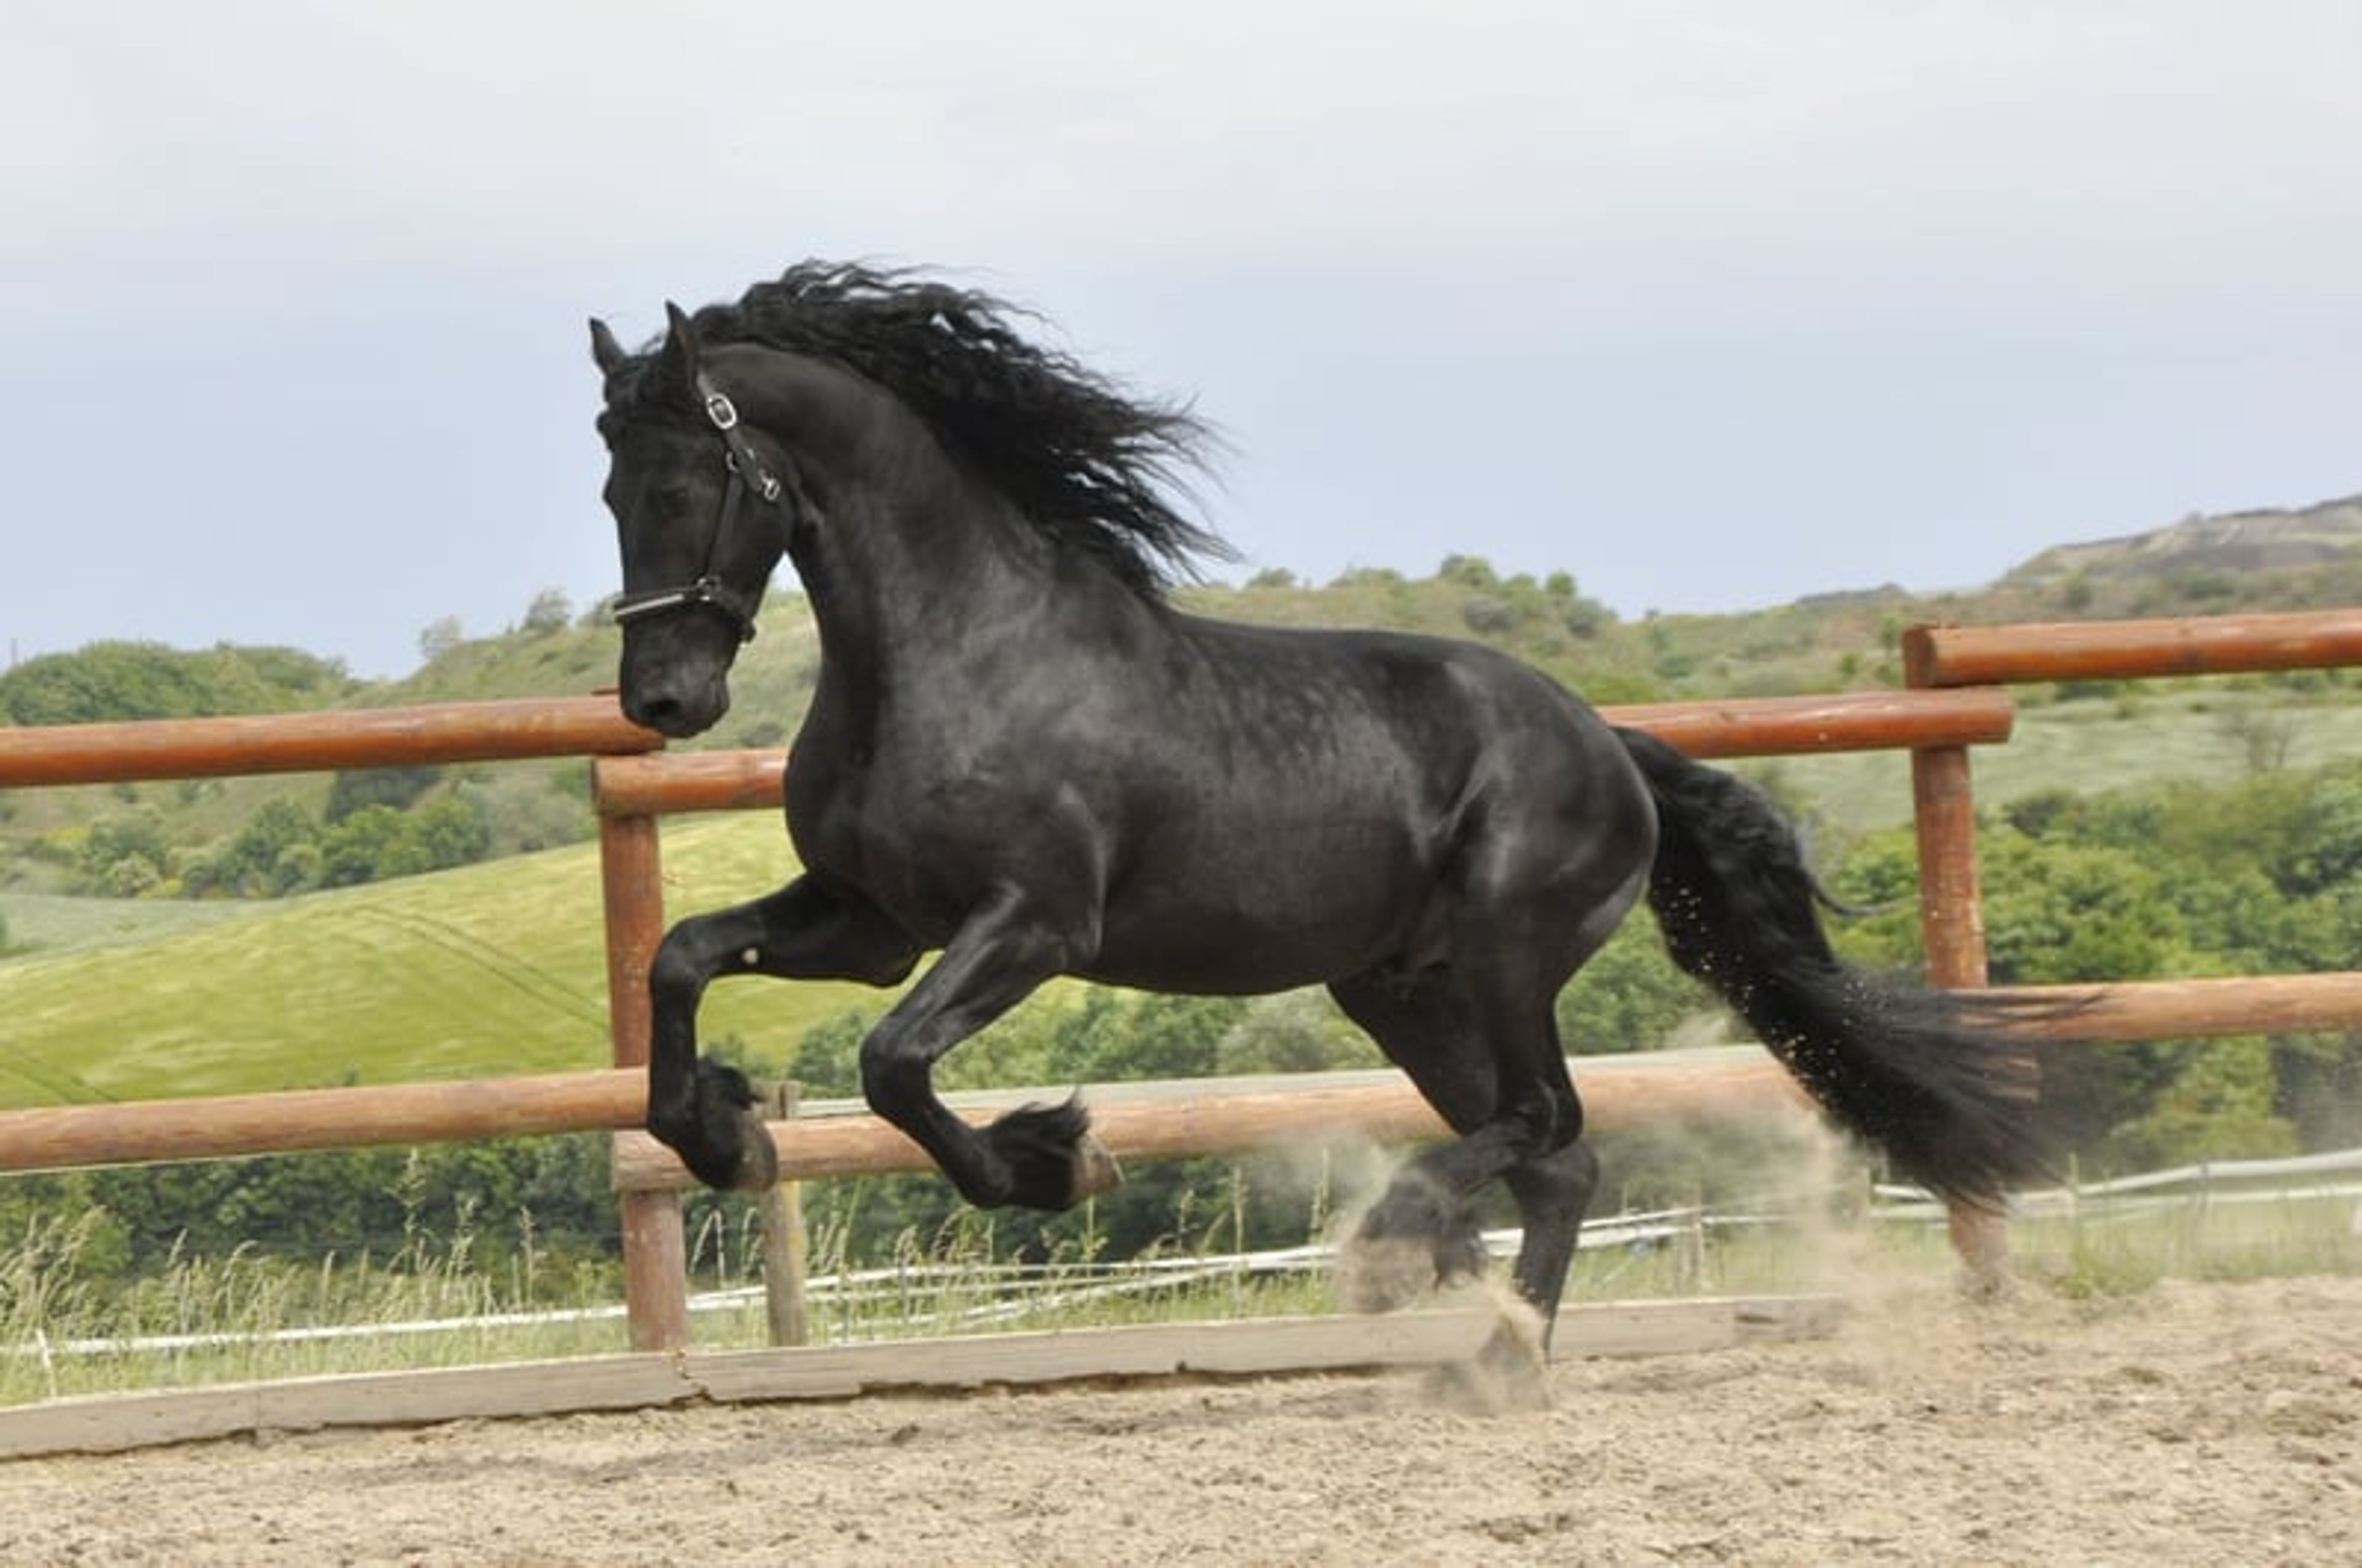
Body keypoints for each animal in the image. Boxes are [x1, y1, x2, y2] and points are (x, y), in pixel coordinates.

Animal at [587, 262, 2046, 1382]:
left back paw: (1401, 1252)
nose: (664, 696)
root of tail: (1611, 747)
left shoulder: (1032, 924)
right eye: (611, 491)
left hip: (1505, 952)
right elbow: (684, 959)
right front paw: (728, 1133)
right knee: (1559, 1162)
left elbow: (893, 1064)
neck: (956, 652)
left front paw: (1062, 1160)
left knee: (1549, 1119)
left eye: (683, 486)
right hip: (1401, 986)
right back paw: (1498, 1362)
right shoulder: (871, 919)